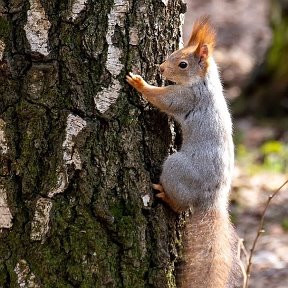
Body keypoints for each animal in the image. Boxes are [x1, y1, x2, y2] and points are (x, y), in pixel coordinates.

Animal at [126, 17, 241, 288]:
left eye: (183, 64)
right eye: (173, 54)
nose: (160, 69)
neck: (204, 82)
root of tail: (212, 197)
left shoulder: (186, 98)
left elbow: (163, 100)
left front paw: (140, 83)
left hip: (176, 168)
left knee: (180, 205)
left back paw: (165, 196)